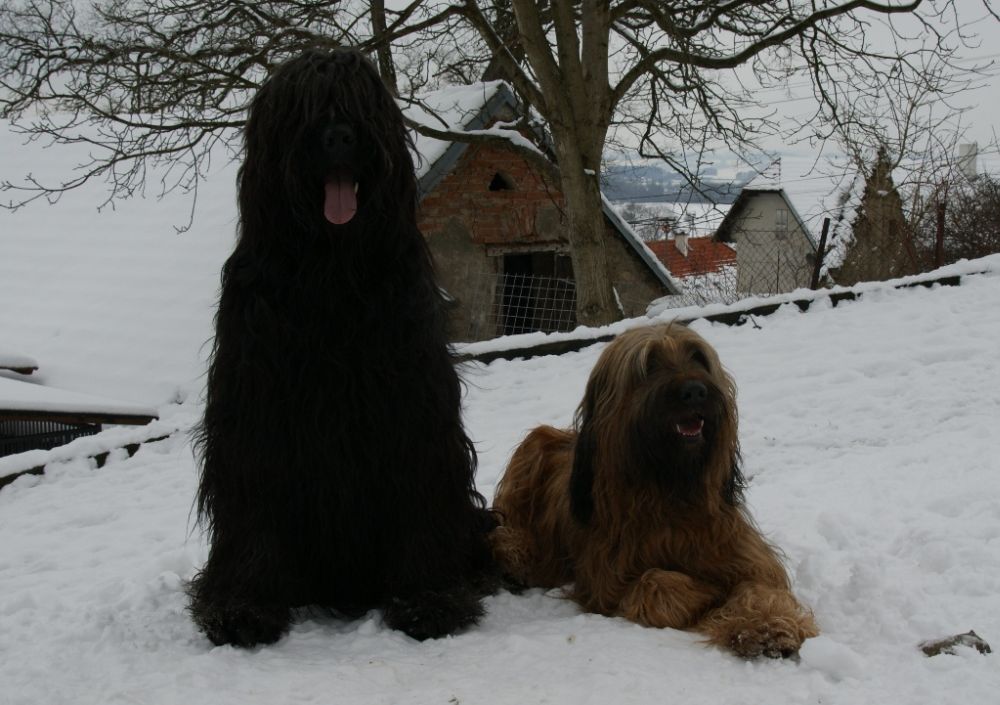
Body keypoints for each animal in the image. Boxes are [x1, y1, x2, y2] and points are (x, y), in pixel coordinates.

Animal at [188, 48, 496, 647]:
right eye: (304, 106)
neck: (330, 270)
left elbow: (417, 492)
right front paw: (243, 604)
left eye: (361, 102)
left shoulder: (411, 407)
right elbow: (254, 499)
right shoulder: (255, 410)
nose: (339, 137)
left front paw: (429, 598)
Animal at [491, 324, 817, 658]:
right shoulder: (608, 579)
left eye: (698, 357)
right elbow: (658, 585)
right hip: (532, 448)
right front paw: (708, 594)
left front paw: (765, 628)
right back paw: (515, 555)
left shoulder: (745, 555)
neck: (670, 490)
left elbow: (761, 586)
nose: (695, 391)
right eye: (649, 364)